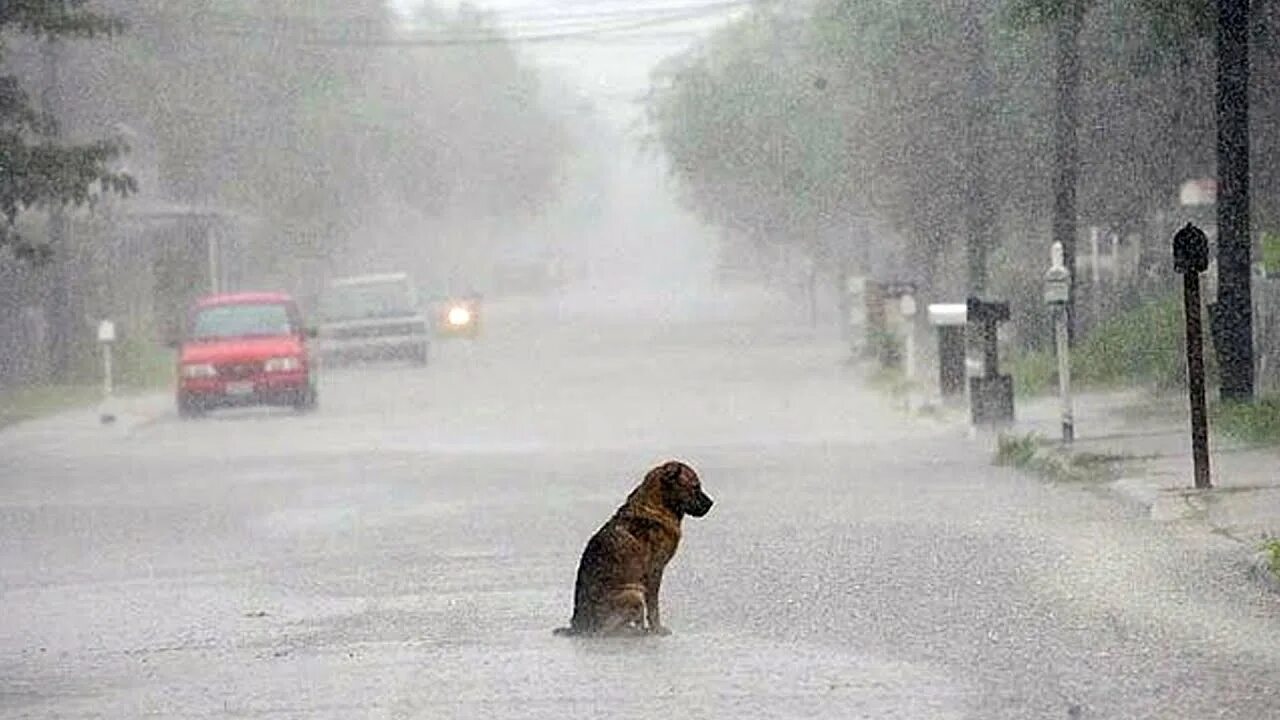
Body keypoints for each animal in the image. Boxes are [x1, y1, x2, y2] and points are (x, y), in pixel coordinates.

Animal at [550, 458, 711, 632]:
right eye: (695, 487)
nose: (711, 503)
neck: (657, 506)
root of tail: (580, 625)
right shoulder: (655, 571)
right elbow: (653, 607)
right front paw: (657, 628)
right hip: (634, 594)